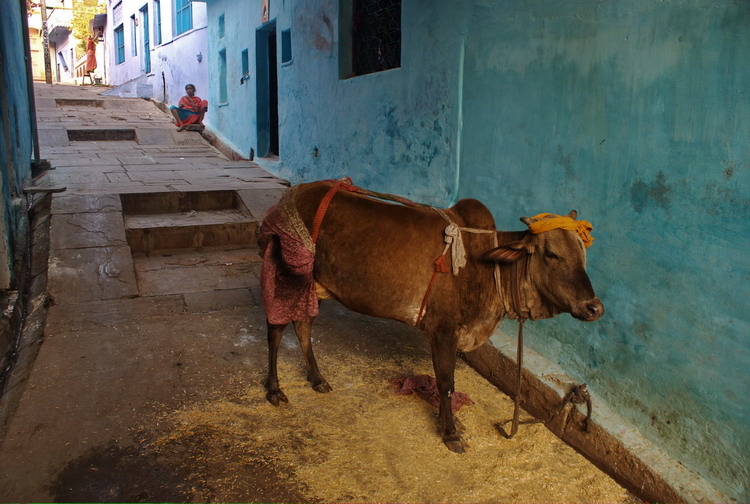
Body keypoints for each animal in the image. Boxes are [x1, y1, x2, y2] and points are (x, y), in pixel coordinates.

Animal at [258, 180, 604, 452]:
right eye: (552, 253)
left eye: (582, 252)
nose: (594, 307)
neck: (489, 268)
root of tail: (291, 195)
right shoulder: (443, 330)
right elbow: (446, 382)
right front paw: (450, 433)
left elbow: (443, 382)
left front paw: (450, 423)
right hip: (286, 278)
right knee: (276, 331)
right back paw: (274, 389)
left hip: (312, 287)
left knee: (303, 326)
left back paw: (317, 379)